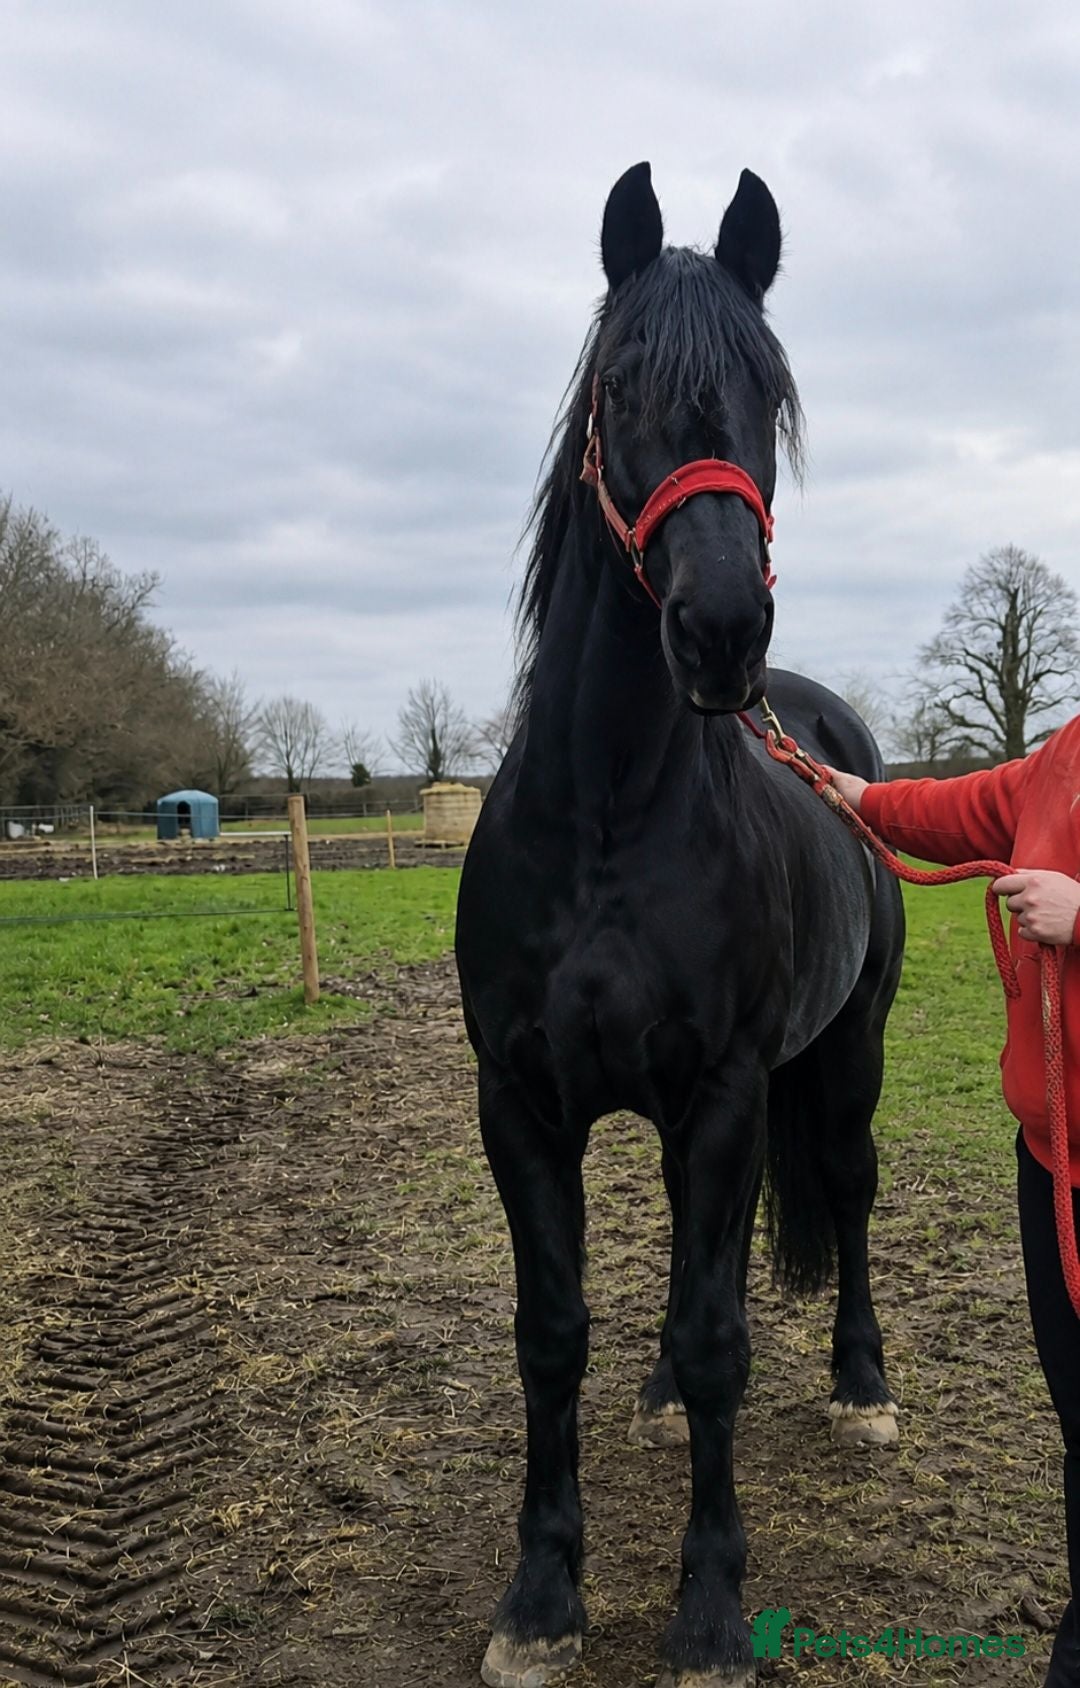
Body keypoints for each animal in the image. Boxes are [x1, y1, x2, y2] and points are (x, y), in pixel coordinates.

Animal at [455, 161, 905, 1688]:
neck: (605, 820)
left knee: (850, 1193)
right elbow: (551, 1333)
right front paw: (541, 1596)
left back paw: (864, 1385)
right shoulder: (520, 1103)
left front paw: (708, 1610)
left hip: (842, 1062)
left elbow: (719, 1335)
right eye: (620, 388)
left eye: (769, 392)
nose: (720, 633)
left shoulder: (724, 1097)